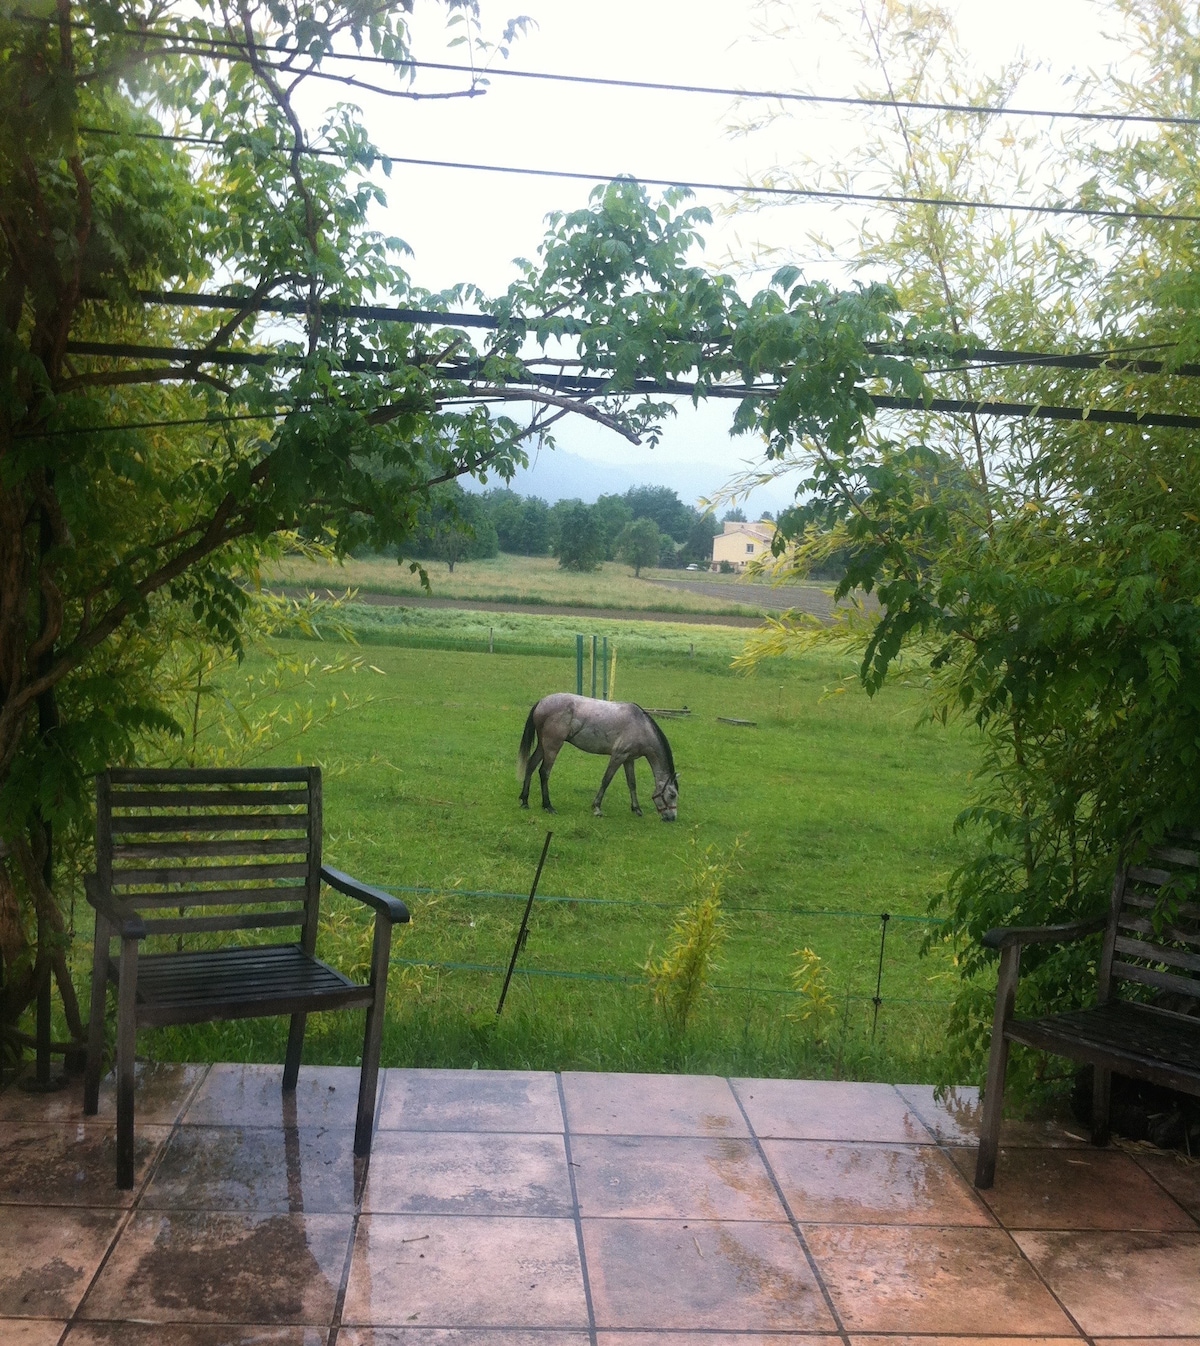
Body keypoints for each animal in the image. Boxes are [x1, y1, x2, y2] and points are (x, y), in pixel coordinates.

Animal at [516, 694, 680, 818]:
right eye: (672, 795)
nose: (671, 818)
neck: (640, 726)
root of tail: (541, 702)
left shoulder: (628, 759)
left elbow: (632, 783)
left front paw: (636, 809)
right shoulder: (618, 757)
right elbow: (606, 780)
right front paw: (597, 808)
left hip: (542, 745)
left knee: (531, 765)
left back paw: (524, 801)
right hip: (552, 746)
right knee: (544, 772)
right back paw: (548, 805)